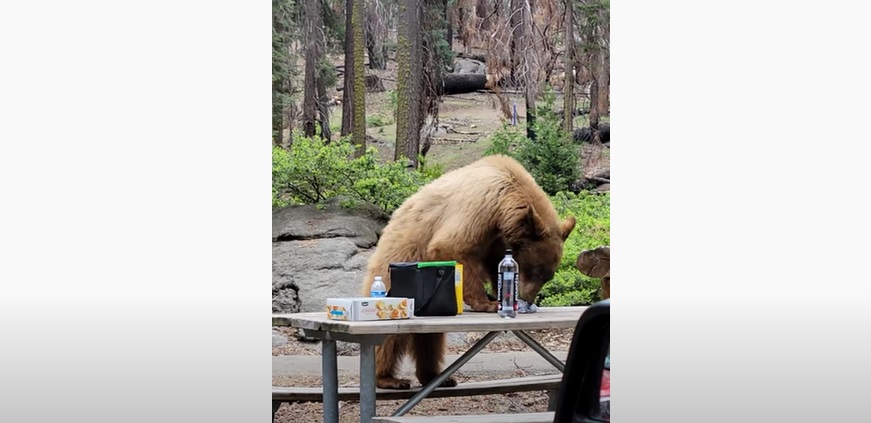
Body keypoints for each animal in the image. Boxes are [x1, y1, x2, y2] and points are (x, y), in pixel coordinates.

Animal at [362, 154, 580, 390]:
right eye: (535, 271)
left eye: (547, 276)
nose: (528, 299)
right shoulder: (479, 205)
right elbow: (451, 247)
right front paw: (488, 303)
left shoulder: (497, 235)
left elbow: (494, 261)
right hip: (394, 267)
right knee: (389, 339)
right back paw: (389, 378)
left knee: (431, 339)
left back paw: (435, 376)